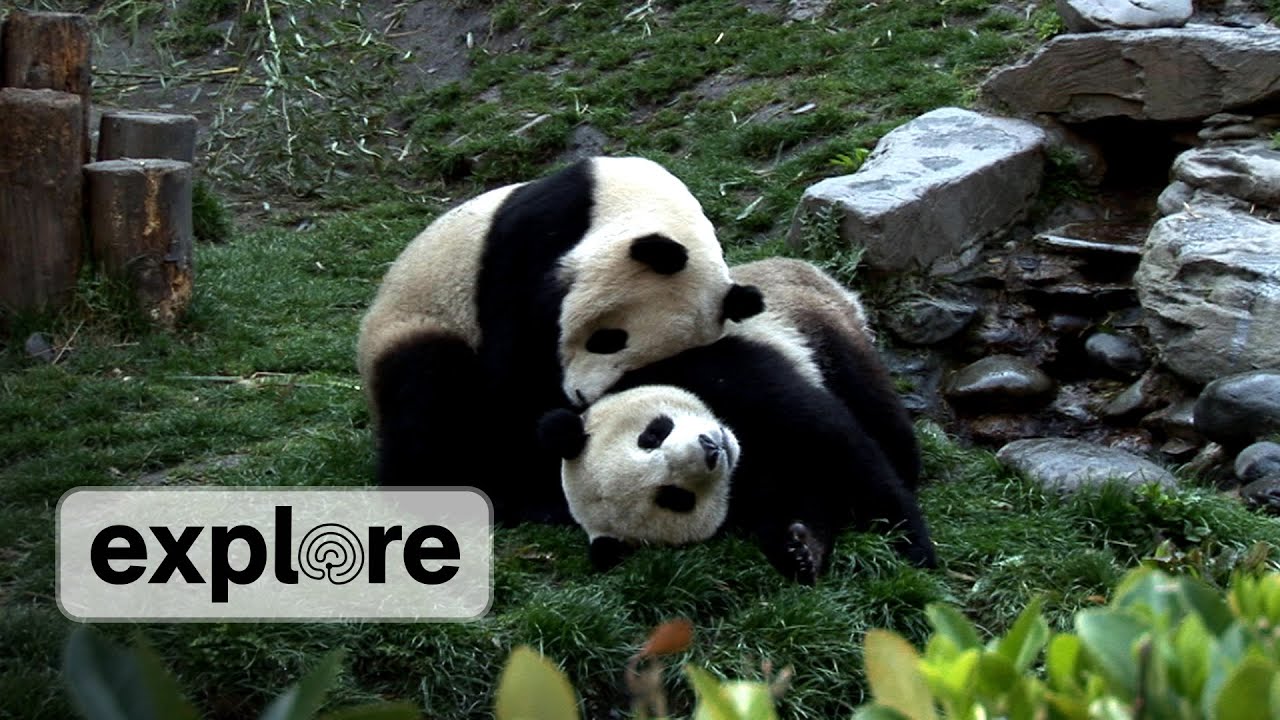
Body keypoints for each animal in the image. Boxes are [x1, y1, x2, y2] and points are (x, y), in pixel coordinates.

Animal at [356, 156, 764, 524]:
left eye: (644, 367)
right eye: (609, 339)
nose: (582, 396)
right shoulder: (532, 241)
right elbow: (513, 373)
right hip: (417, 321)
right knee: (428, 391)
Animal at [538, 257, 934, 583]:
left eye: (652, 434)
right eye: (674, 497)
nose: (711, 447)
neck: (743, 447)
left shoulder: (717, 370)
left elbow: (836, 443)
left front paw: (911, 547)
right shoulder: (744, 495)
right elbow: (803, 492)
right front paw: (799, 549)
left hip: (815, 321)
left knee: (868, 396)